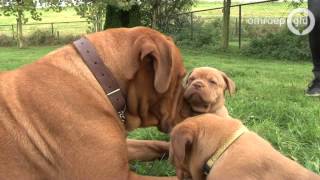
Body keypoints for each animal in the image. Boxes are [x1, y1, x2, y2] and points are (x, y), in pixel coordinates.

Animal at [0, 27, 185, 180]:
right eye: (181, 77)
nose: (188, 111)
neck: (102, 83)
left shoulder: (120, 149)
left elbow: (154, 144)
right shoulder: (117, 176)